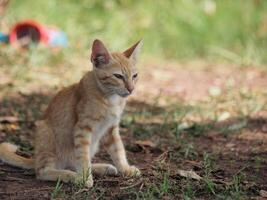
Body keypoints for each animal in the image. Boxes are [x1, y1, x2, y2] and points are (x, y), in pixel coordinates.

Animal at [0, 38, 142, 188]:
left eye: (135, 76)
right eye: (118, 76)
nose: (131, 89)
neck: (110, 98)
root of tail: (36, 159)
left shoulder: (111, 129)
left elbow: (118, 150)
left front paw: (125, 169)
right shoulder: (82, 129)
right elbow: (83, 157)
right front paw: (85, 178)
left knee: (73, 163)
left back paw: (100, 168)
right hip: (46, 134)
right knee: (44, 171)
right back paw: (72, 176)